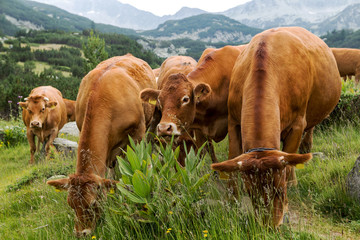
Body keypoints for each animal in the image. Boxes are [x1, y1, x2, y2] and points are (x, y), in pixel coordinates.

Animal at [212, 27, 342, 228]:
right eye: (250, 192)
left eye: (280, 191)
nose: (270, 227)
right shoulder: (233, 121)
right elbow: (232, 158)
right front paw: (231, 200)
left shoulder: (298, 124)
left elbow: (288, 165)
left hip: (311, 119)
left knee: (303, 147)